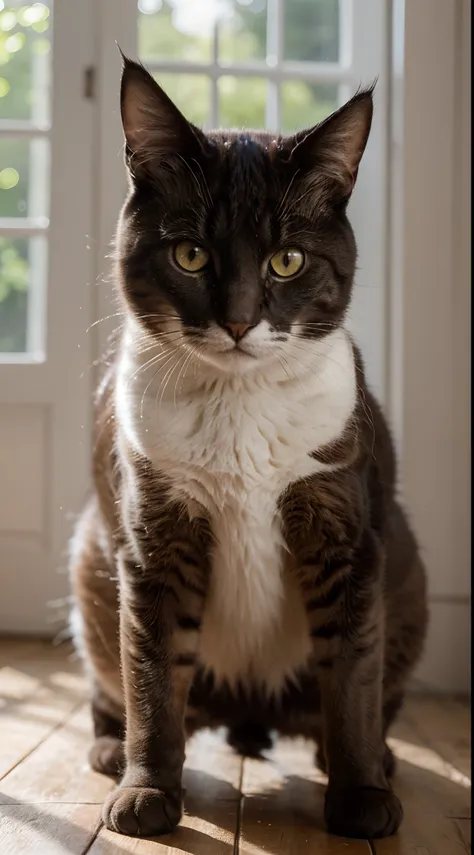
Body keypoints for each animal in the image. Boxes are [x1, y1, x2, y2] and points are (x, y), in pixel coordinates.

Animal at [68, 56, 428, 840]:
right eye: (190, 253)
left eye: (287, 260)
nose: (236, 319)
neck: (238, 405)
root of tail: (247, 711)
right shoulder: (153, 540)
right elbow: (152, 681)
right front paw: (147, 793)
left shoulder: (345, 528)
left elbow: (352, 676)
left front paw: (361, 796)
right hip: (91, 558)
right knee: (118, 683)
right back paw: (109, 749)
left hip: (409, 570)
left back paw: (372, 758)